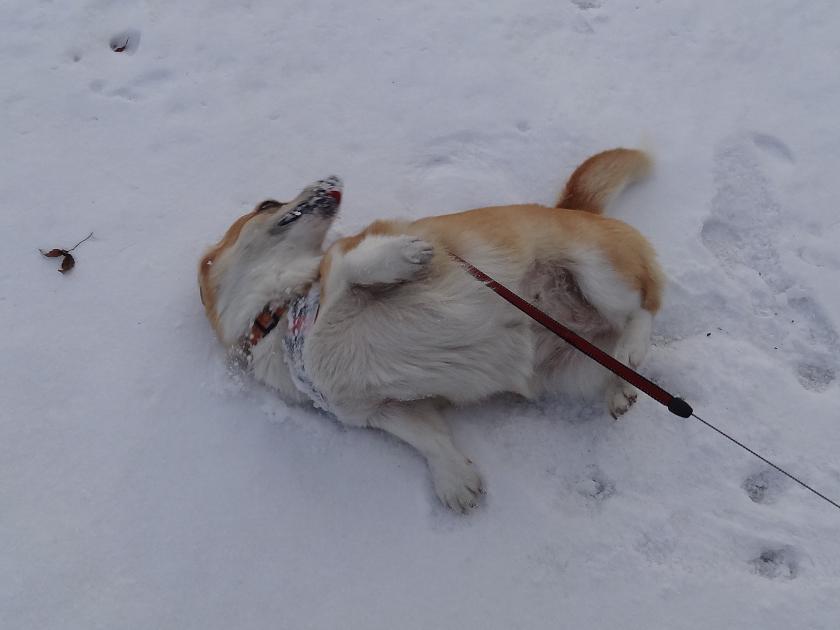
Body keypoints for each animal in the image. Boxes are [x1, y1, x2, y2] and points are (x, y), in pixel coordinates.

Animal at [199, 149, 664, 512]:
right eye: (268, 203)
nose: (333, 177)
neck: (281, 316)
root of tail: (574, 208)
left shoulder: (343, 265)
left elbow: (358, 264)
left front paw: (406, 255)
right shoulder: (379, 409)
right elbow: (427, 438)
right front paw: (455, 480)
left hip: (596, 271)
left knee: (643, 307)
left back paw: (629, 349)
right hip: (570, 366)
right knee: (620, 356)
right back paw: (621, 385)